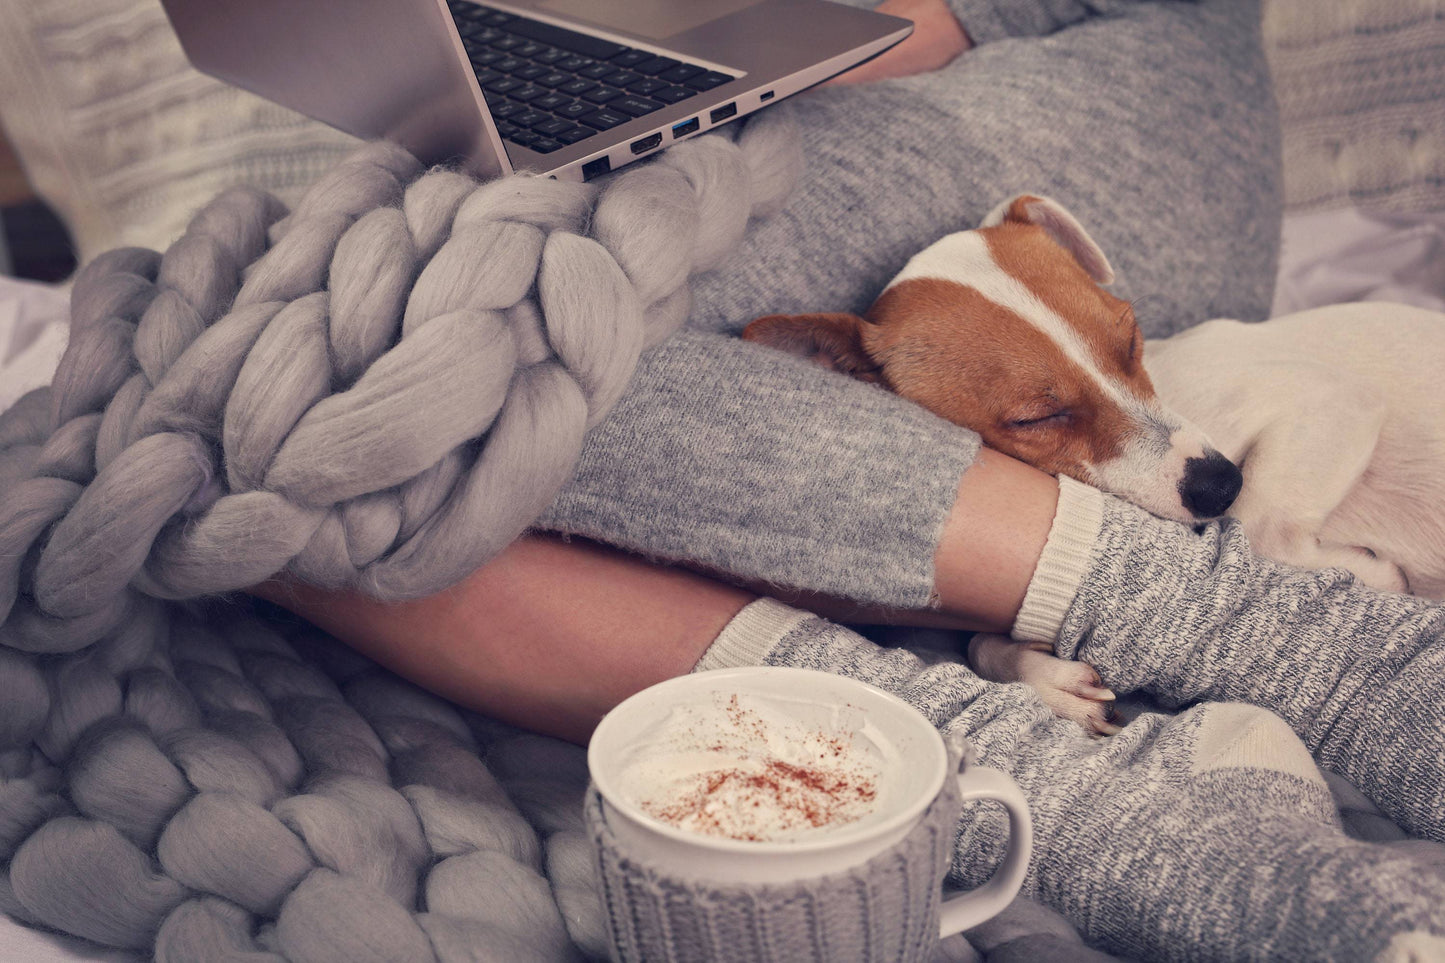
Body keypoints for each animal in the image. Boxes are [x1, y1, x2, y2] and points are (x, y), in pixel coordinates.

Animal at [745, 195, 1445, 731]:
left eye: (1130, 339)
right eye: (1037, 418)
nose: (1218, 484)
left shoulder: (1336, 402)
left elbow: (1262, 522)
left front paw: (1374, 574)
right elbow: (982, 640)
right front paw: (1048, 678)